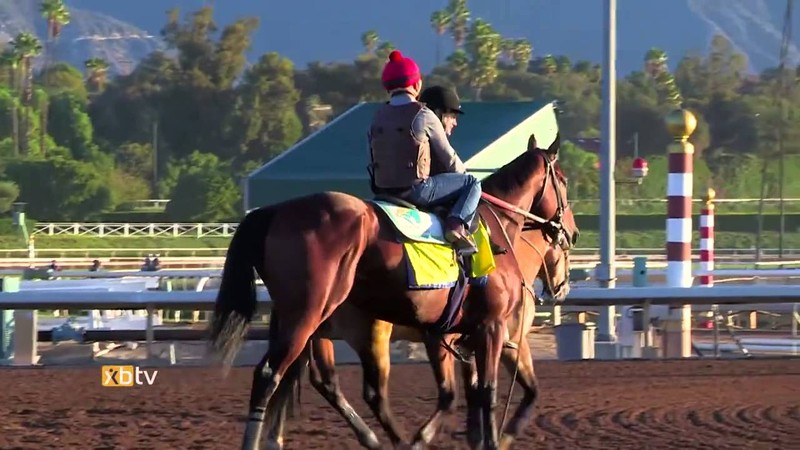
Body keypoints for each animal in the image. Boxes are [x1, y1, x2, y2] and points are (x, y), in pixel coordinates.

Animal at [264, 223, 576, 448]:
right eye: (565, 251)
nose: (561, 288)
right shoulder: (499, 340)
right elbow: (520, 391)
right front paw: (499, 437)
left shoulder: (475, 343)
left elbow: (479, 390)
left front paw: (479, 437)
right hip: (366, 334)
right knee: (352, 387)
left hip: (316, 333)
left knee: (310, 378)